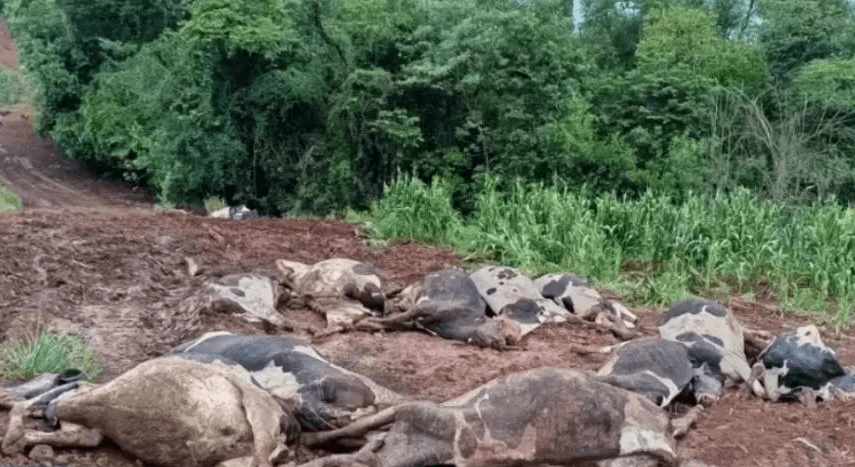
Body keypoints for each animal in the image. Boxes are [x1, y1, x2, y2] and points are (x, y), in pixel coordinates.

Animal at [358, 269, 521, 349]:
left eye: (509, 340)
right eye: (499, 325)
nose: (502, 342)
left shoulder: (414, 323)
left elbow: (395, 322)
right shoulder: (424, 307)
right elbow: (394, 318)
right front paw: (361, 322)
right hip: (416, 286)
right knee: (395, 291)